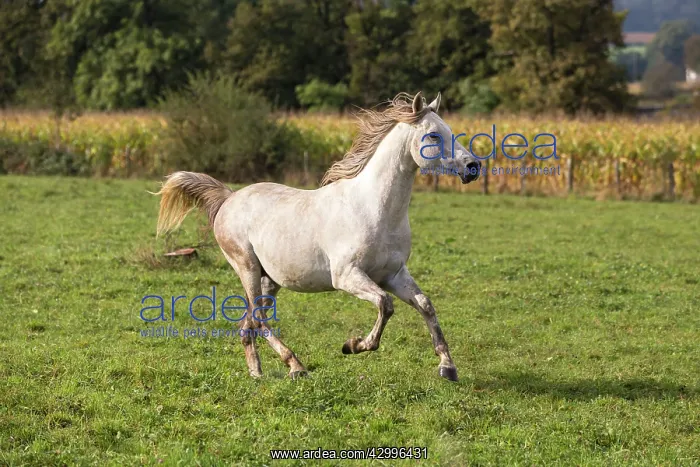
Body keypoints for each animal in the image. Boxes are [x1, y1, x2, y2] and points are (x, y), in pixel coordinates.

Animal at [154, 91, 481, 381]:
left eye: (450, 132)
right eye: (433, 136)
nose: (473, 167)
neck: (374, 208)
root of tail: (229, 198)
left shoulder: (394, 274)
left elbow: (425, 304)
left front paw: (448, 368)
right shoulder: (346, 276)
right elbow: (385, 304)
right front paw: (354, 345)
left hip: (269, 280)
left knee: (248, 323)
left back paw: (258, 373)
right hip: (246, 267)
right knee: (258, 319)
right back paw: (296, 366)